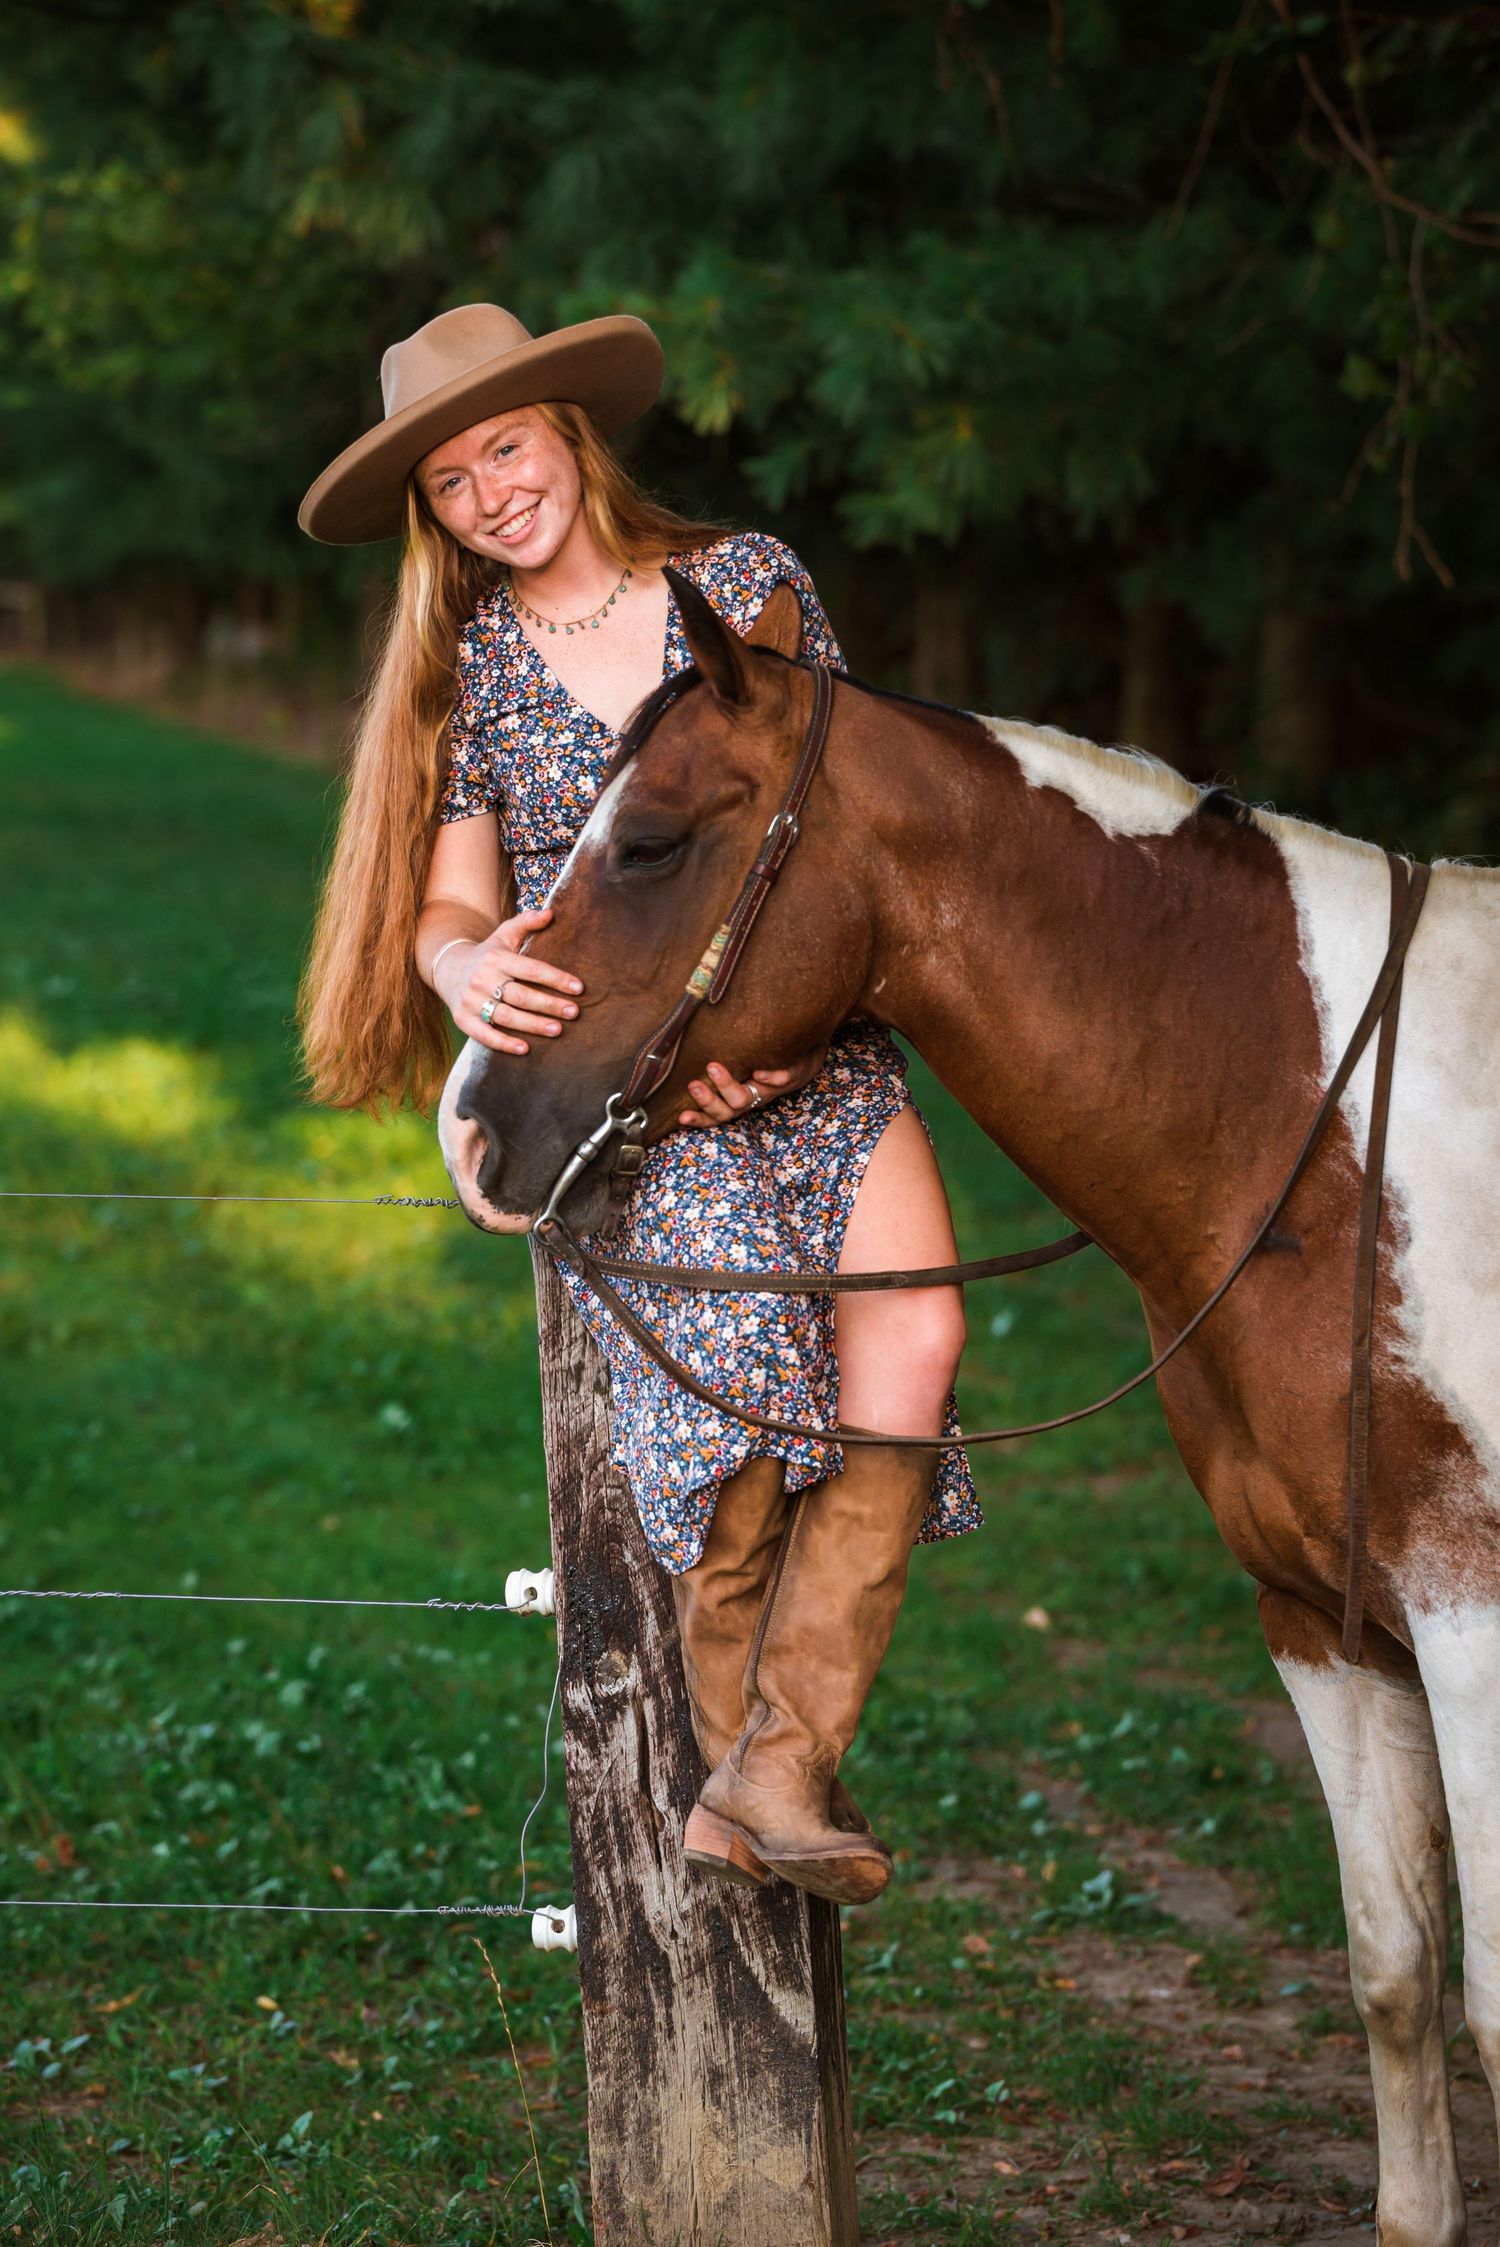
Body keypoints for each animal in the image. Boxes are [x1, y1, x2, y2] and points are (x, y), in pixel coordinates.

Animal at [438, 572, 1500, 2247]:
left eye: (654, 839)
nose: (479, 1122)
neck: (1328, 1150)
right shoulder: (1323, 1620)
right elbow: (1396, 1974)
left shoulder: (1470, 1617)